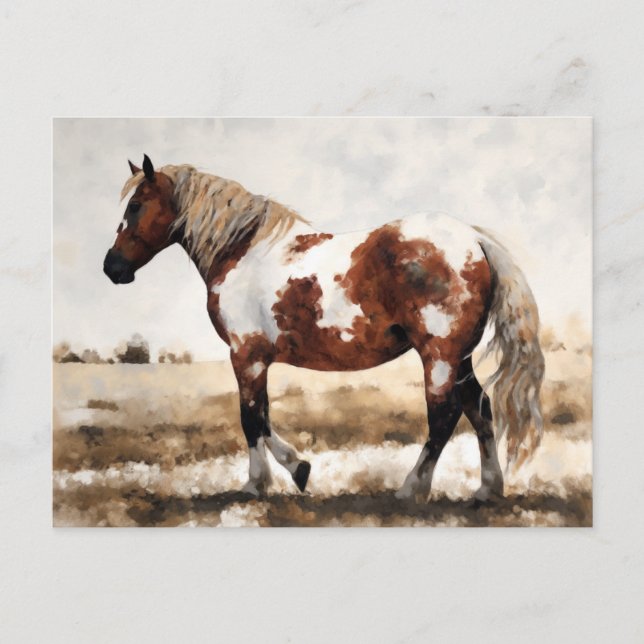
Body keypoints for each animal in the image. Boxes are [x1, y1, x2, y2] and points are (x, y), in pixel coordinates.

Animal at [104, 155, 545, 502]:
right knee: (480, 408)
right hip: (458, 358)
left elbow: (251, 418)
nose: (112, 267)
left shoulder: (245, 354)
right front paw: (296, 470)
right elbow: (262, 415)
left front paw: (262, 482)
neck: (241, 251)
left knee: (444, 415)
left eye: (137, 205)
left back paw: (411, 489)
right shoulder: (256, 358)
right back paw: (487, 489)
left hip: (438, 355)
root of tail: (475, 240)